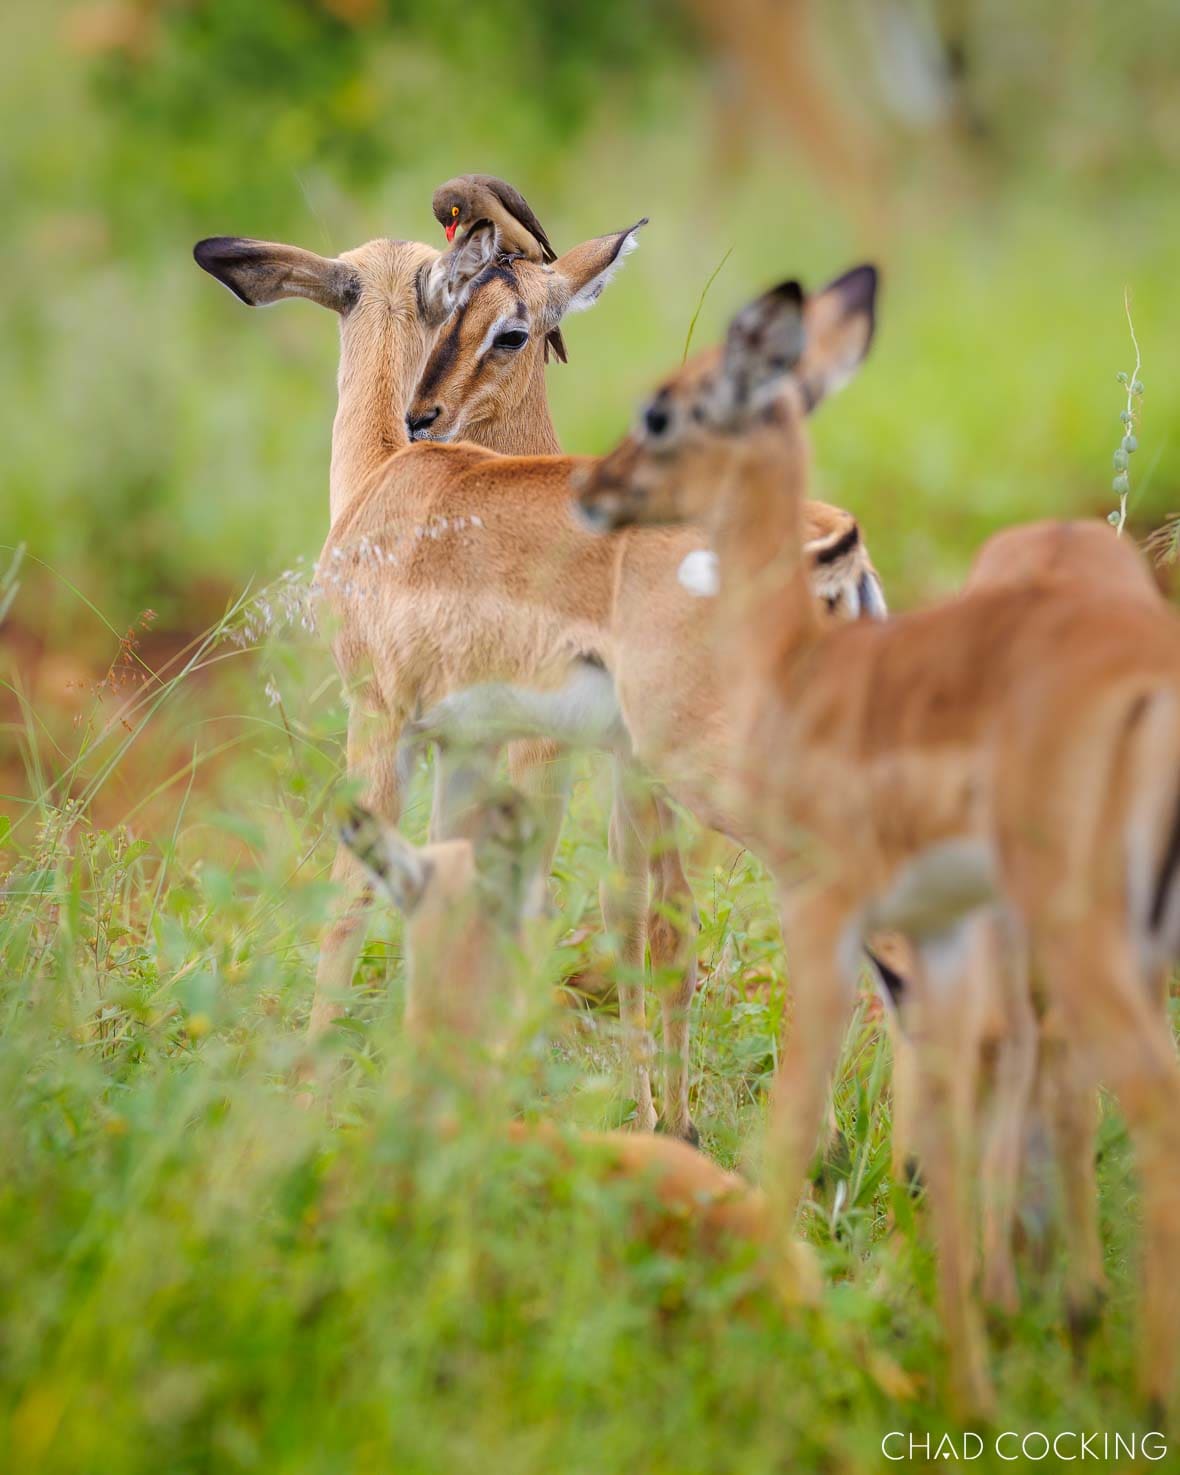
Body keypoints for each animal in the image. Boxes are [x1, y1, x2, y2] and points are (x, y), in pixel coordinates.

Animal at [195, 221, 885, 1141]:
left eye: (506, 327)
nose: (424, 415)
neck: (386, 487)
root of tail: (829, 546)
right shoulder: (469, 744)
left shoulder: (382, 721)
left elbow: (350, 903)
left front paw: (309, 1097)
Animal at [570, 267, 1180, 1416]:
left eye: (664, 409)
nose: (595, 487)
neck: (803, 668)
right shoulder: (930, 936)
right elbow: (942, 1109)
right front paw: (966, 1371)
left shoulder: (823, 913)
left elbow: (790, 1120)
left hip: (1073, 928)